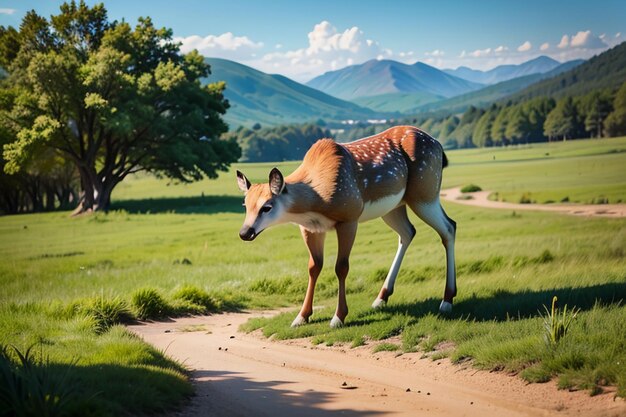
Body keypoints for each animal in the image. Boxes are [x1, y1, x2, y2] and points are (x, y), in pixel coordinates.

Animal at [236, 125, 456, 326]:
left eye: (267, 207)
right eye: (245, 205)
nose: (245, 232)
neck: (317, 199)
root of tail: (438, 146)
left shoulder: (349, 217)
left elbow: (341, 267)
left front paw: (338, 317)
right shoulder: (310, 228)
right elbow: (314, 267)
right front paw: (301, 316)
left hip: (425, 191)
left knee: (449, 227)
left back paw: (447, 300)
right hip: (394, 206)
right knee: (409, 232)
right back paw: (381, 298)